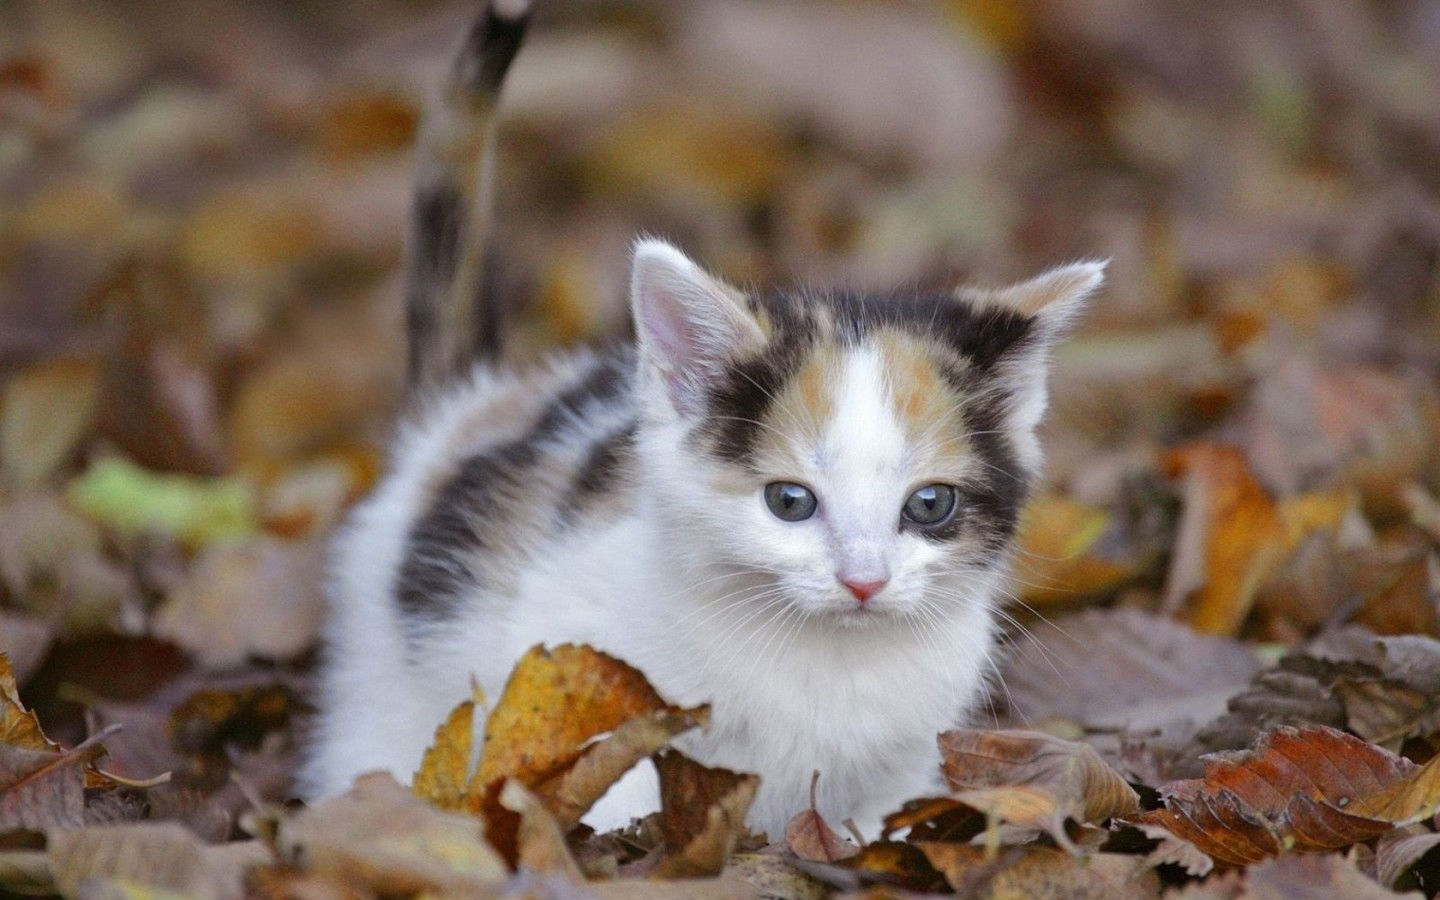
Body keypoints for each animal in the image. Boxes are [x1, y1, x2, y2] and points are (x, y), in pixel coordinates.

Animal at [306, 0, 1100, 840]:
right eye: (790, 501)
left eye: (930, 504)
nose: (863, 582)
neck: (827, 663)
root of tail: (469, 408)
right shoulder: (580, 671)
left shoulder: (906, 752)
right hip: (385, 670)